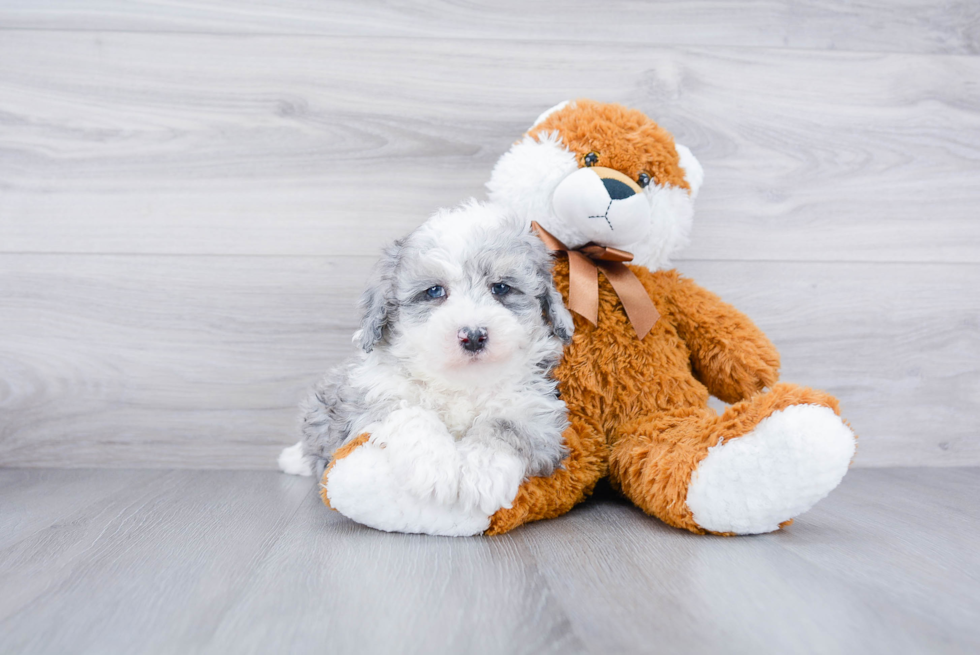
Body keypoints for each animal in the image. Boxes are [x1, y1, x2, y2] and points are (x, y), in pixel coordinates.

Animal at [278, 201, 576, 540]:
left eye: (501, 288)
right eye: (434, 291)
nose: (473, 335)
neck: (462, 382)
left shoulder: (538, 412)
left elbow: (504, 424)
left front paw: (480, 471)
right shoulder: (370, 397)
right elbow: (410, 412)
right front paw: (436, 467)